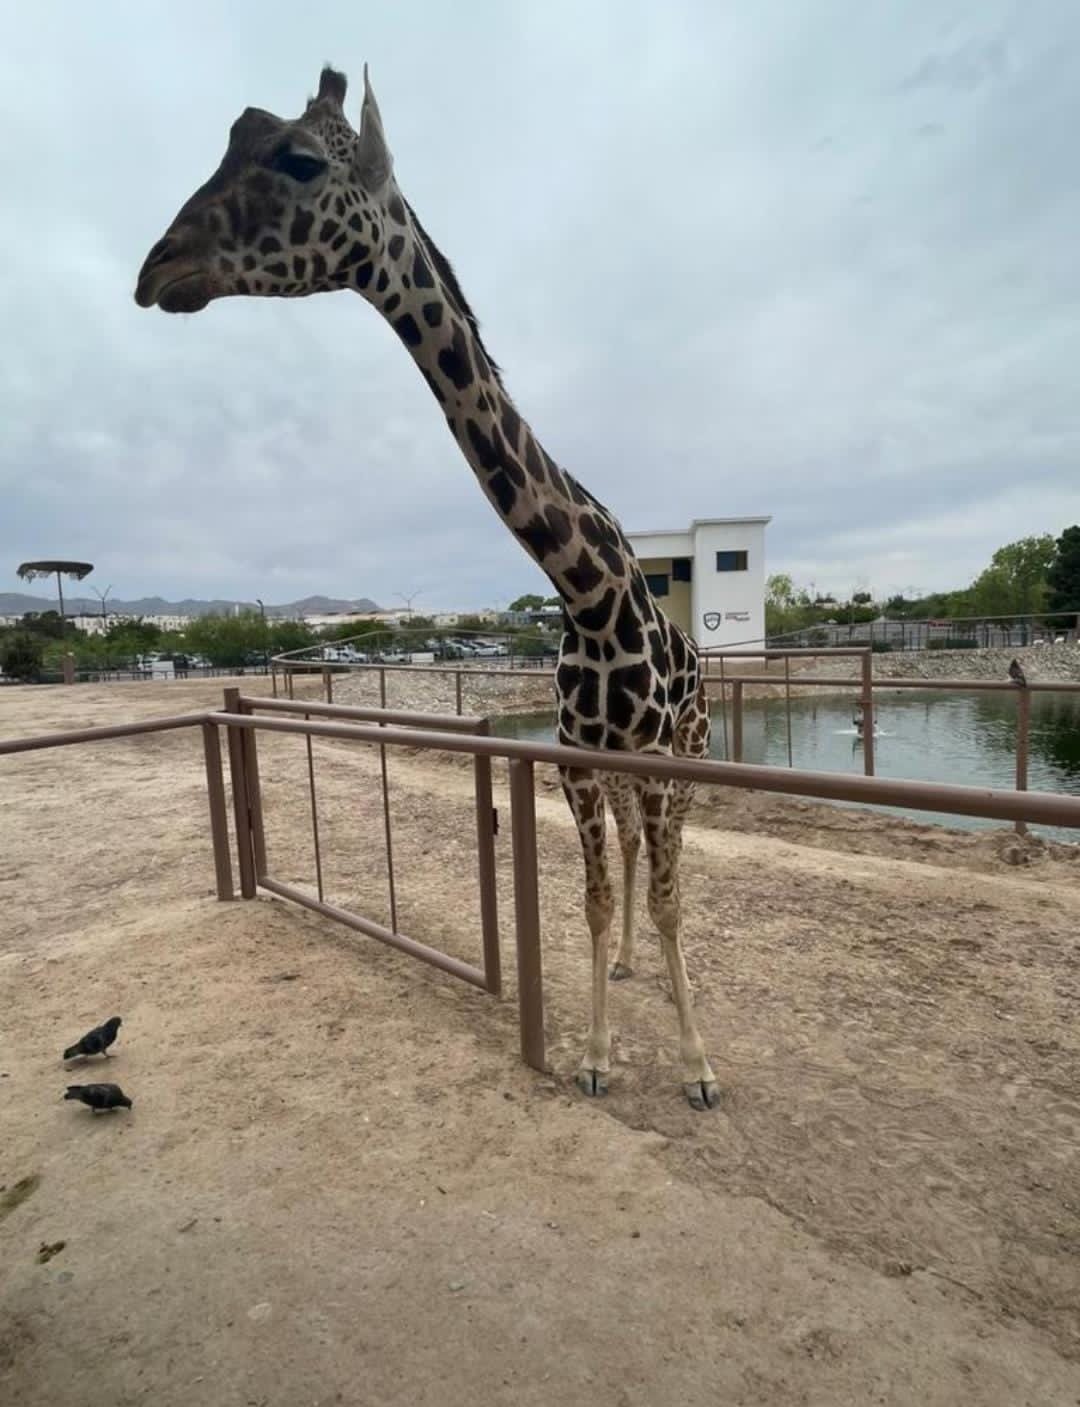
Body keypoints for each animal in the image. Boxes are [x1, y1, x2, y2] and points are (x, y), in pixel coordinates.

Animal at [134, 65, 719, 1110]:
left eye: (298, 158)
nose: (157, 267)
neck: (590, 594)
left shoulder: (653, 763)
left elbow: (663, 900)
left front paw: (694, 1066)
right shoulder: (576, 762)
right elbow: (595, 899)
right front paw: (596, 1052)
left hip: (686, 757)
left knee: (670, 873)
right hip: (620, 772)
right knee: (632, 868)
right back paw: (622, 972)